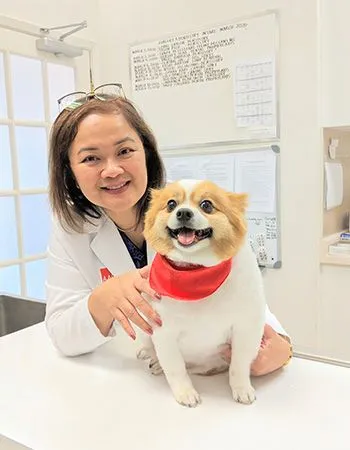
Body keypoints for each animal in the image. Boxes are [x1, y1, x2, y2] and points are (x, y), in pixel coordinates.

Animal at [137, 179, 266, 408]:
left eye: (206, 205)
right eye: (171, 204)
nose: (183, 213)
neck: (196, 272)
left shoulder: (246, 327)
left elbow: (239, 365)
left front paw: (241, 389)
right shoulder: (164, 331)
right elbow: (175, 368)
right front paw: (185, 393)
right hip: (144, 330)